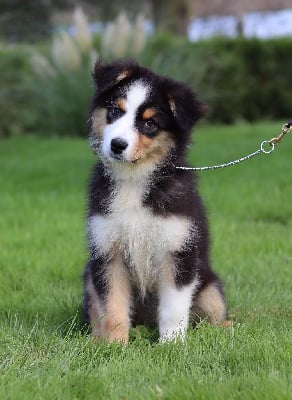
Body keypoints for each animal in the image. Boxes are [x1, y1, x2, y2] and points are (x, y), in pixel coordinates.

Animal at [83, 60, 227, 344]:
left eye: (149, 124)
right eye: (115, 111)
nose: (117, 145)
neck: (134, 180)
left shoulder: (178, 250)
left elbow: (173, 307)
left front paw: (171, 345)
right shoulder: (108, 252)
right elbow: (112, 307)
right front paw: (114, 346)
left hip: (209, 288)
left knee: (215, 314)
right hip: (88, 275)